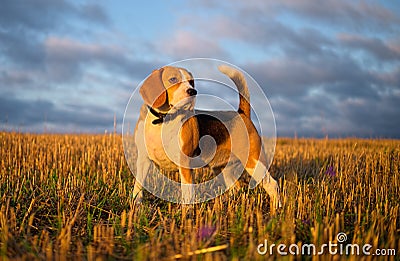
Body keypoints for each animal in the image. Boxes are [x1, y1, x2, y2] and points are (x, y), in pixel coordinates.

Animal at [132, 64, 282, 207]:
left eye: (191, 82)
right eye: (173, 79)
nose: (193, 92)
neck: (162, 120)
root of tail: (241, 113)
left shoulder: (184, 164)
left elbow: (187, 195)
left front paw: (186, 214)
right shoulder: (143, 160)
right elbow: (138, 187)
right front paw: (136, 206)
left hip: (254, 161)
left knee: (272, 184)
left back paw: (276, 210)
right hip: (224, 171)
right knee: (237, 188)